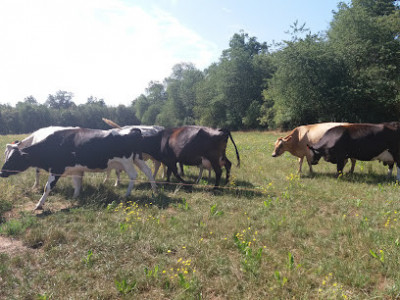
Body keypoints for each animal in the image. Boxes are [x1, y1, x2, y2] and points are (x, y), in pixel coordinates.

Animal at [1, 127, 156, 210]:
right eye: (6, 155)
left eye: (13, 159)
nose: (1, 172)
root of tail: (133, 130)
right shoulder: (75, 170)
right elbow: (77, 183)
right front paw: (76, 197)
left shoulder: (56, 169)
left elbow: (47, 187)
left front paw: (39, 205)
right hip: (138, 158)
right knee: (148, 172)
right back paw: (155, 191)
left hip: (127, 161)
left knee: (133, 175)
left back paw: (127, 194)